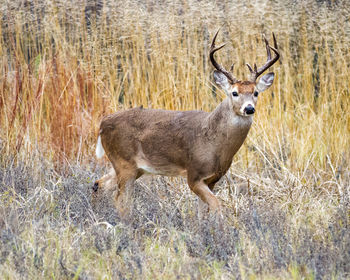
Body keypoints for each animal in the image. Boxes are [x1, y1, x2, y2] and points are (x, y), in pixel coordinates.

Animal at [92, 29, 278, 219]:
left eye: (255, 92)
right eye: (234, 93)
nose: (249, 108)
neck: (215, 144)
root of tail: (103, 123)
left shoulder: (212, 179)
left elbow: (202, 212)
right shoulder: (193, 174)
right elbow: (217, 206)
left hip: (132, 167)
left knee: (98, 184)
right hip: (124, 162)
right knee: (120, 200)